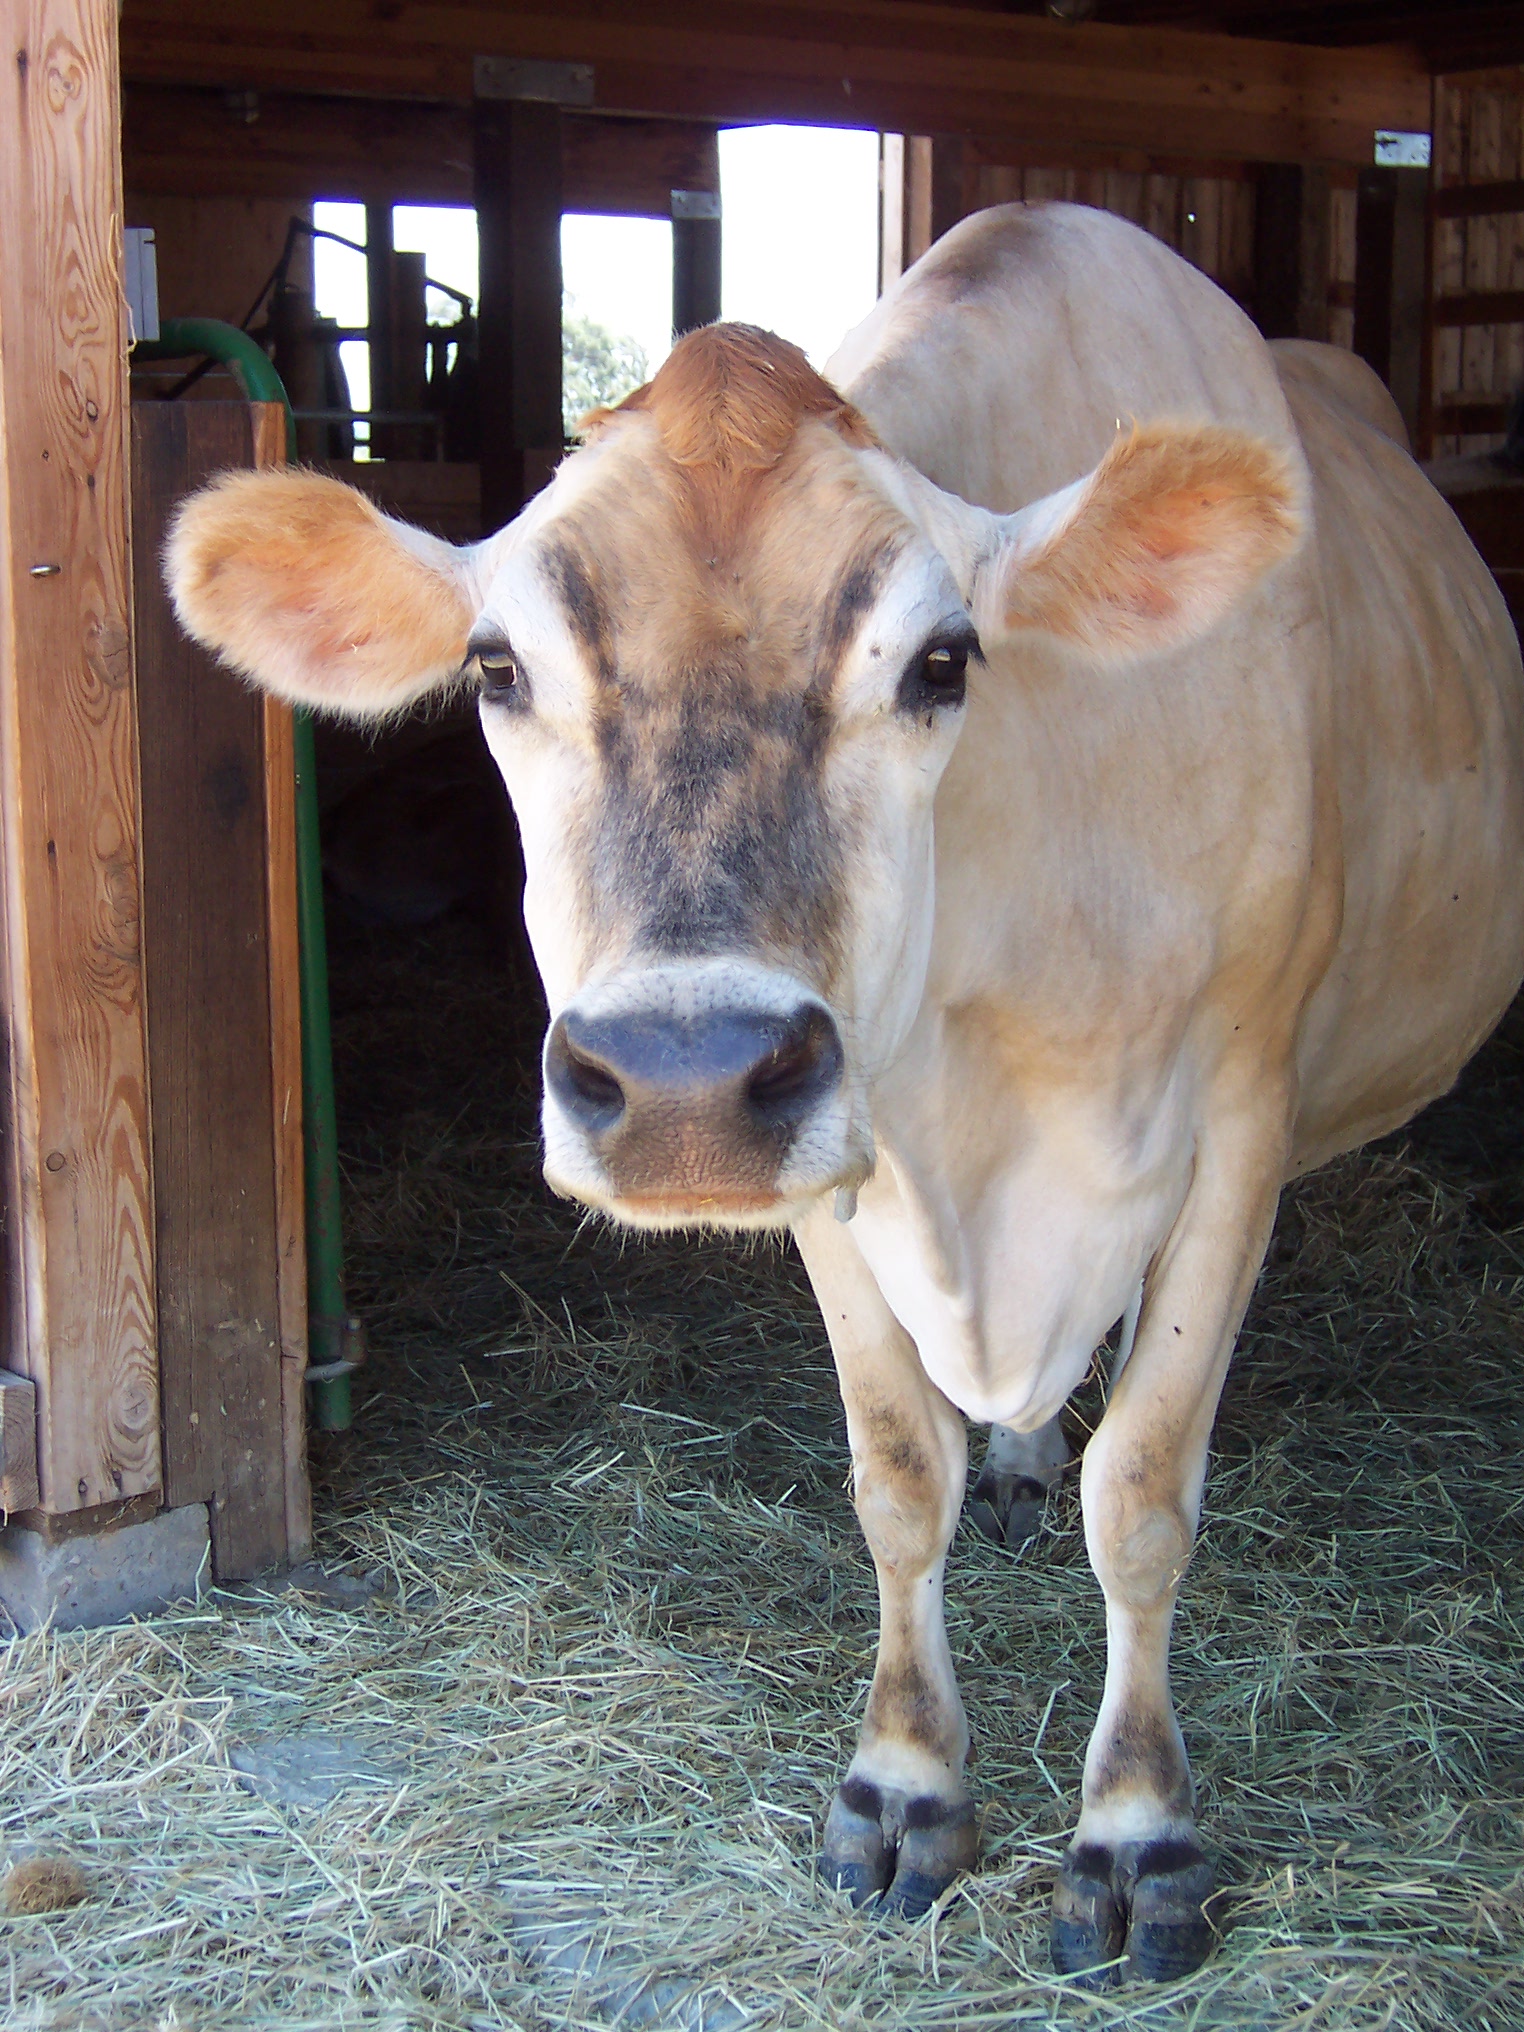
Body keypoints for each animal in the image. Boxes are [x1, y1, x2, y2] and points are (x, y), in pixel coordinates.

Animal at [166, 210, 1524, 1983]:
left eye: (944, 661)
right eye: (496, 667)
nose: (680, 1077)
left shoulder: (1241, 1114)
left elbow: (1147, 1486)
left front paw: (1137, 1833)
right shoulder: (830, 1153)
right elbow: (894, 1473)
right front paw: (904, 1785)